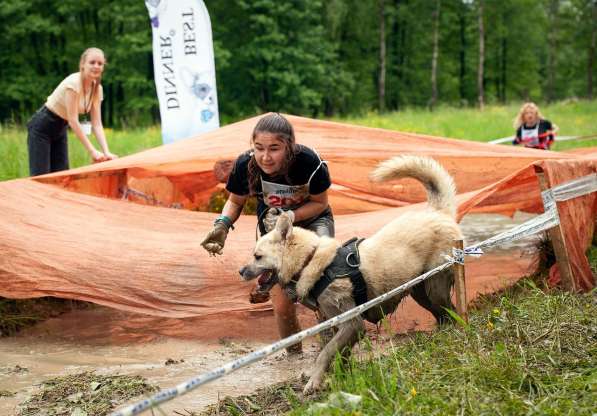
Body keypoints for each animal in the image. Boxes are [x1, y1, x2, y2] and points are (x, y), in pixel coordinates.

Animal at [237, 155, 460, 394]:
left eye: (257, 256)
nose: (240, 271)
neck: (310, 260)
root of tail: (437, 212)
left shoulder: (352, 323)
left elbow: (325, 352)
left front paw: (314, 382)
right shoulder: (339, 324)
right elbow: (338, 354)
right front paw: (340, 377)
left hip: (435, 287)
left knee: (451, 311)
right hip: (421, 291)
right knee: (442, 315)